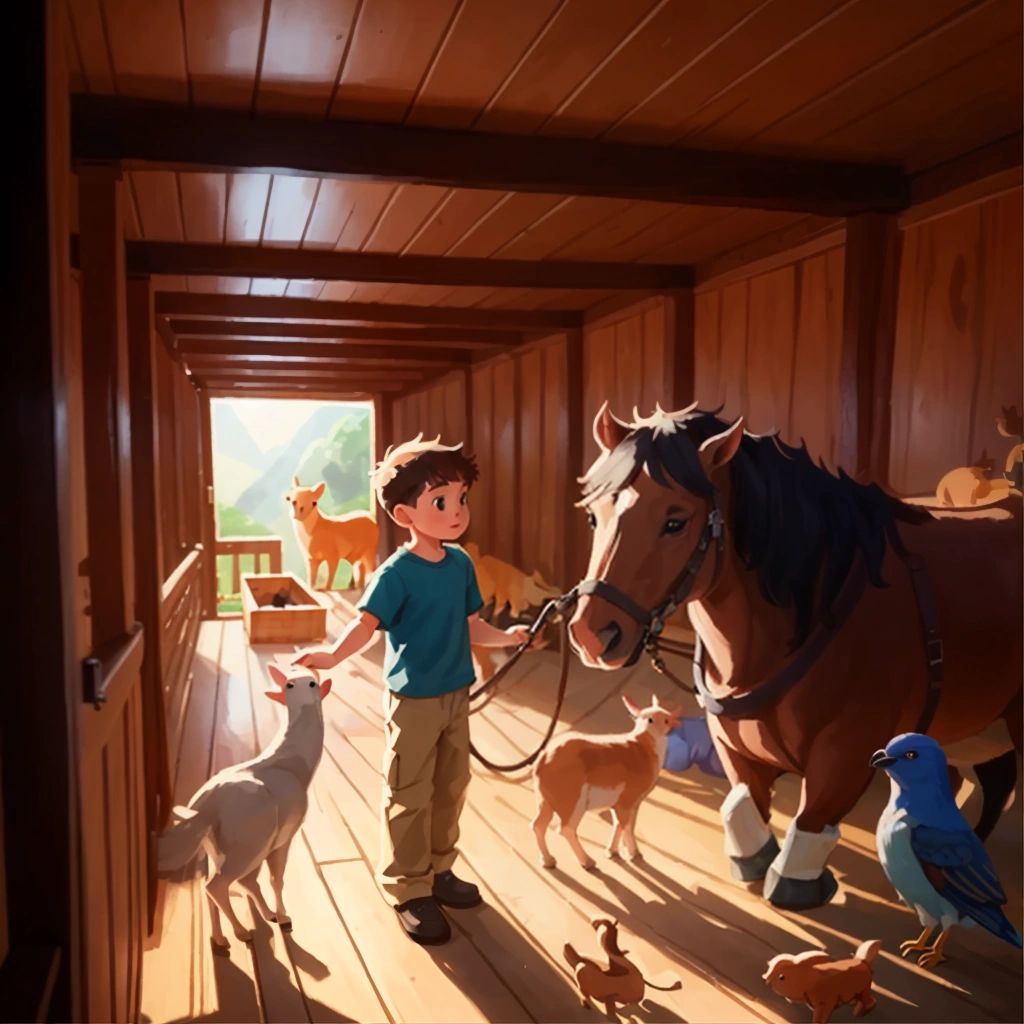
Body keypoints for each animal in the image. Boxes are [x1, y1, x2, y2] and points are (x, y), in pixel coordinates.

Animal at [157, 663, 329, 950]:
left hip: (218, 848)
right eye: (292, 684)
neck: (297, 763)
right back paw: (241, 932)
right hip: (247, 844)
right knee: (216, 886)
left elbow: (253, 882)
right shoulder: (285, 835)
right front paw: (283, 917)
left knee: (213, 884)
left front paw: (271, 914)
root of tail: (205, 808)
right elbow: (275, 879)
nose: (304, 673)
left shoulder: (267, 842)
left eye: (310, 680)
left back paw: (219, 938)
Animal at [573, 403, 1019, 909]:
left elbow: (808, 825)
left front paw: (798, 886)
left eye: (675, 521)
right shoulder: (736, 746)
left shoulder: (846, 752)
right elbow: (743, 805)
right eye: (594, 518)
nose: (591, 635)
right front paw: (752, 863)